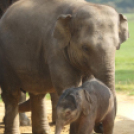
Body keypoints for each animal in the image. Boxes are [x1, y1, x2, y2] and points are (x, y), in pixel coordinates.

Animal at [0, 0, 129, 134]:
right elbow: (69, 85)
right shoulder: (55, 48)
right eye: (85, 48)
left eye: (117, 46)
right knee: (12, 95)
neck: (76, 9)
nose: (100, 126)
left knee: (38, 95)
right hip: (5, 59)